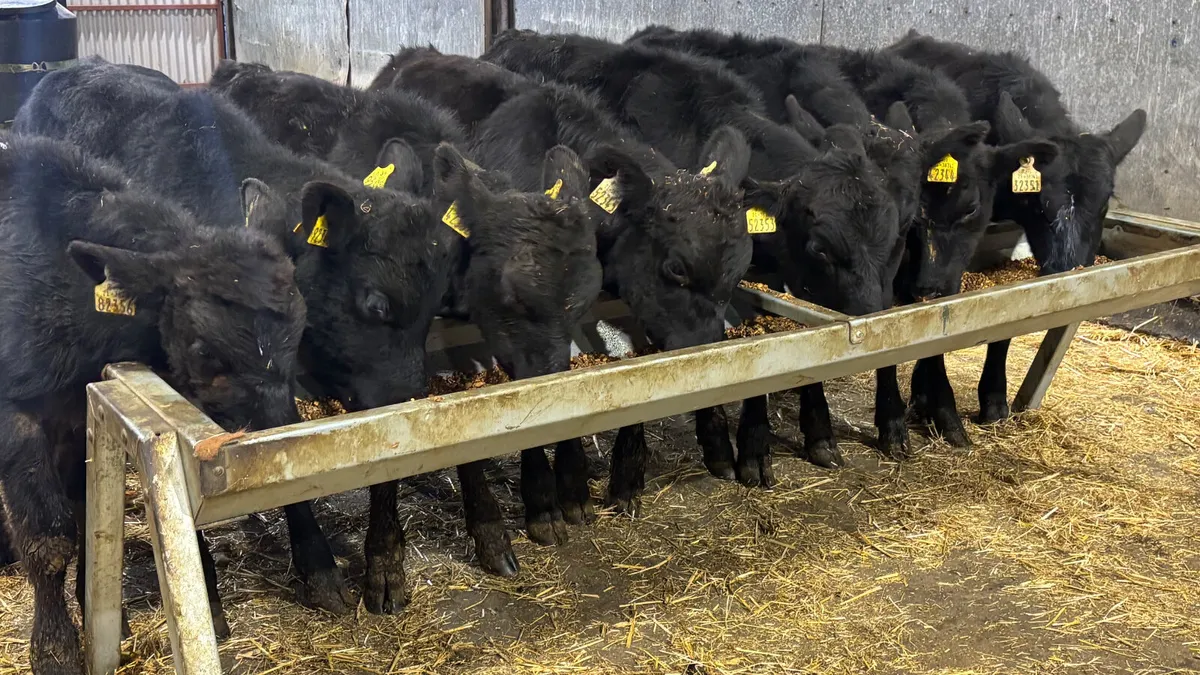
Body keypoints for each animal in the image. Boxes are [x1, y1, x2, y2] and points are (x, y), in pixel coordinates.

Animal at [0, 134, 306, 675]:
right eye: (204, 350)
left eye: (299, 332)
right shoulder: (17, 416)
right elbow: (48, 538)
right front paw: (55, 650)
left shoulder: (81, 418)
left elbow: (93, 518)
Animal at [888, 31, 1146, 424]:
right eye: (1038, 204)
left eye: (1104, 203)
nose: (1067, 269)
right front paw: (930, 398)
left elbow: (1007, 314)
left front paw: (993, 398)